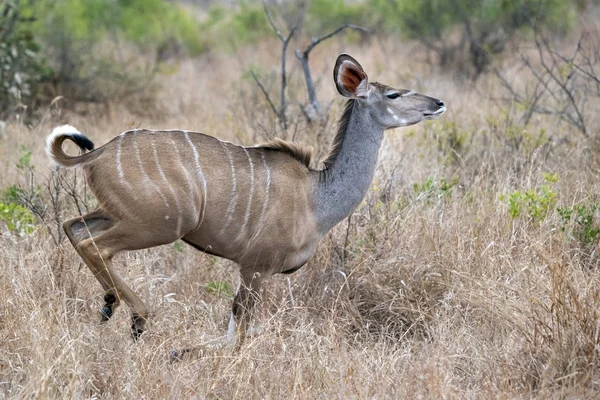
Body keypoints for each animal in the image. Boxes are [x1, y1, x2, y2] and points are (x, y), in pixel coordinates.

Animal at [45, 54, 446, 354]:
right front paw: (181, 352)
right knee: (93, 243)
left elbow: (233, 330)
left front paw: (180, 351)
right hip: (161, 224)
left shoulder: (252, 272)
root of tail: (98, 154)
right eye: (393, 95)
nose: (439, 102)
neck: (316, 196)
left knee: (73, 226)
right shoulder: (255, 267)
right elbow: (238, 333)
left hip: (119, 214)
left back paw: (108, 306)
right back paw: (137, 318)